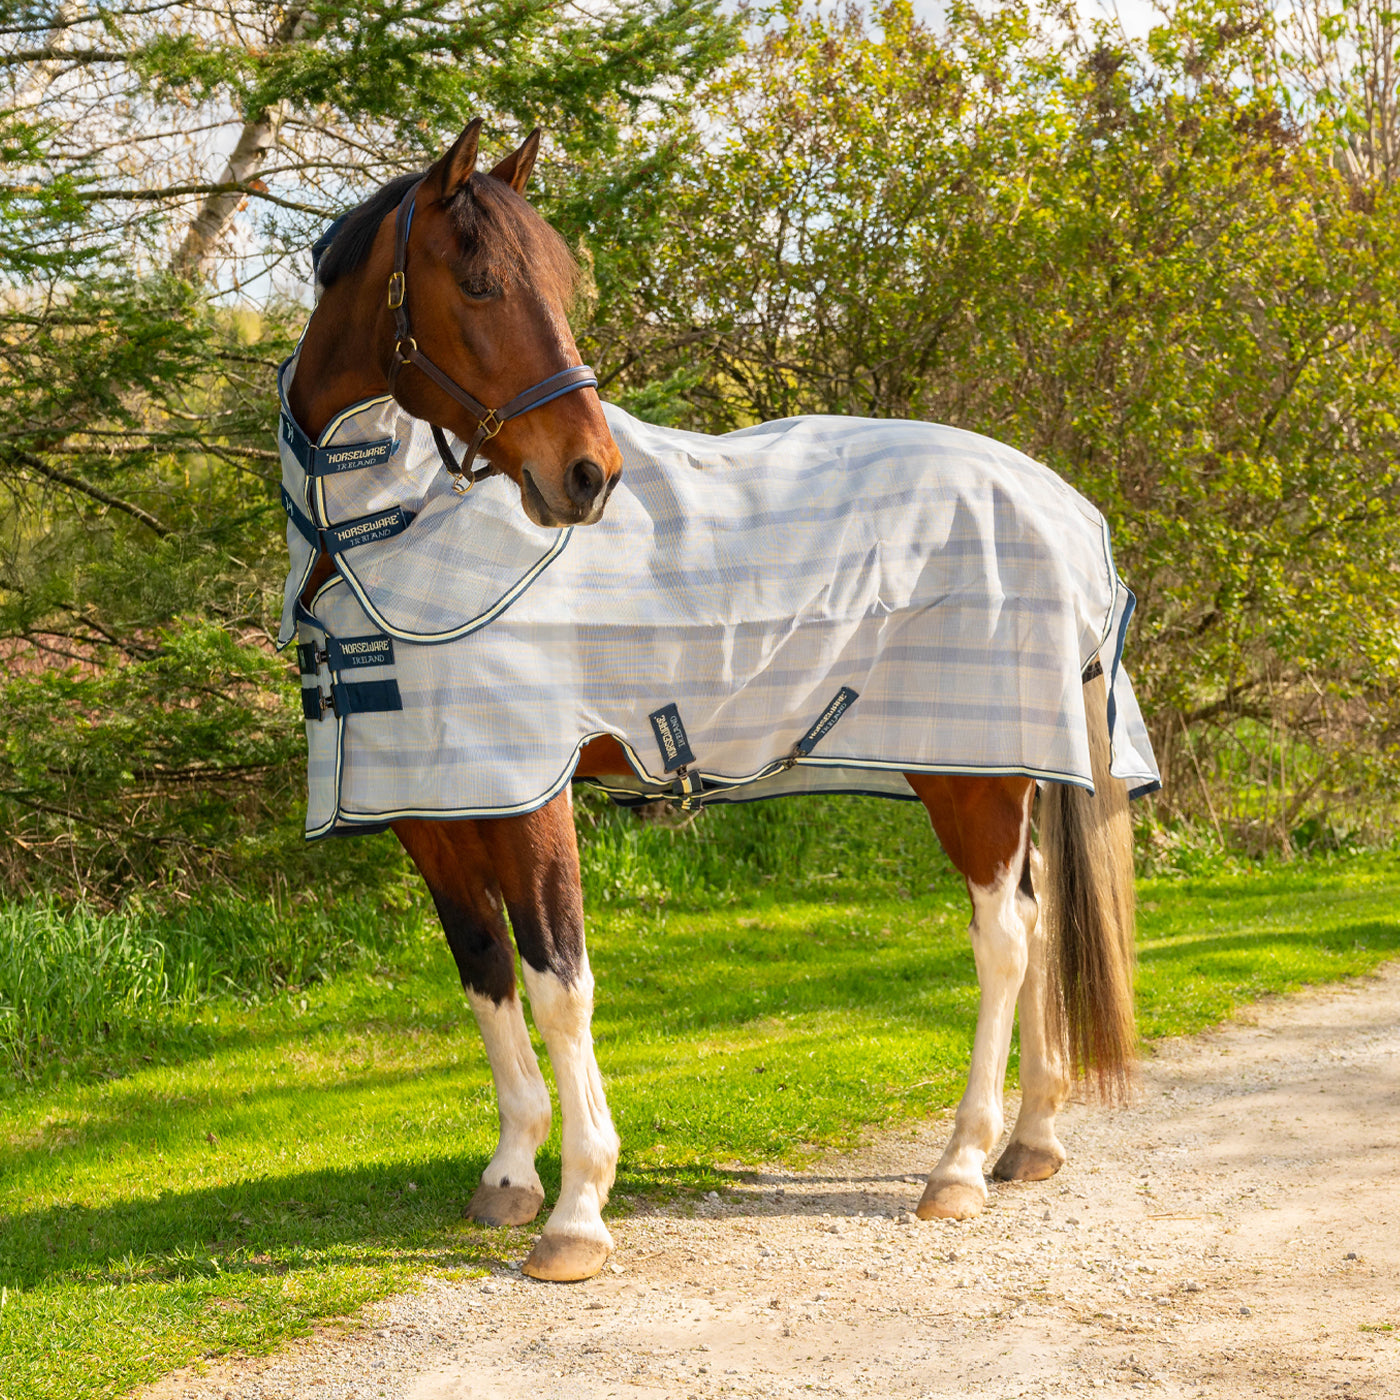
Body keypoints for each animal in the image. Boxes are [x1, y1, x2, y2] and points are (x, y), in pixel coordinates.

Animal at [282, 120, 1143, 1283]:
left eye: (557, 282)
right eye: (479, 282)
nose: (587, 476)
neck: (390, 531)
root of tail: (1059, 503)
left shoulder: (529, 794)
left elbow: (559, 983)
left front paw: (578, 1209)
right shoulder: (432, 805)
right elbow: (487, 975)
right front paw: (511, 1174)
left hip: (969, 774)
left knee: (1002, 938)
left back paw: (959, 1165)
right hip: (998, 767)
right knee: (1039, 916)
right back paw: (1032, 1139)